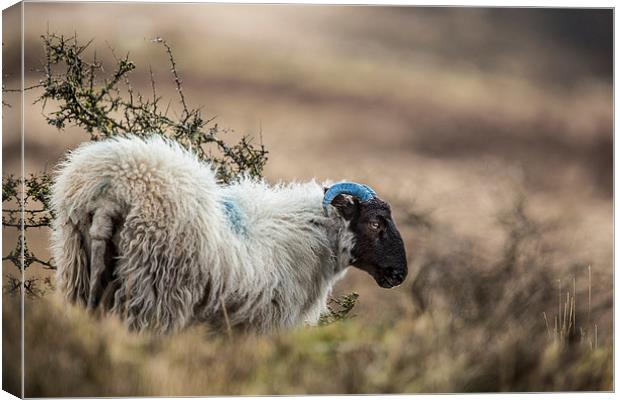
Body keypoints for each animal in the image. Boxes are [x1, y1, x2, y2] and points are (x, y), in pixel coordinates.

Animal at [48, 135, 406, 334]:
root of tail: (112, 190)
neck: (310, 233)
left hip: (77, 269)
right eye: (376, 223)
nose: (399, 273)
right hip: (155, 292)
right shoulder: (267, 322)